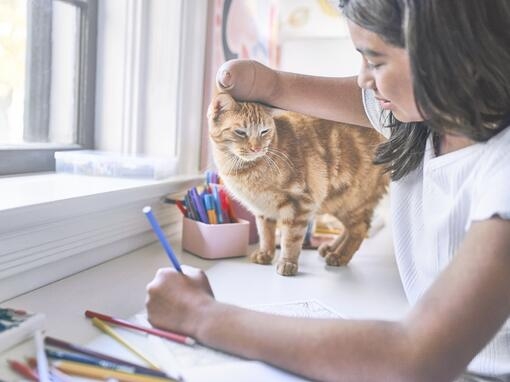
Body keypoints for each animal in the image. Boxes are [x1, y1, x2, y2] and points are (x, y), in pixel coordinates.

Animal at [207, 94, 386, 276]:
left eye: (264, 131)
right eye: (241, 132)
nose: (256, 148)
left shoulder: (299, 203)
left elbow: (291, 239)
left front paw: (287, 262)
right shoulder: (263, 208)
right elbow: (266, 233)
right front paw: (266, 253)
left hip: (350, 202)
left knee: (360, 229)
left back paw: (339, 256)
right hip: (338, 202)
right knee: (354, 228)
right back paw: (331, 248)